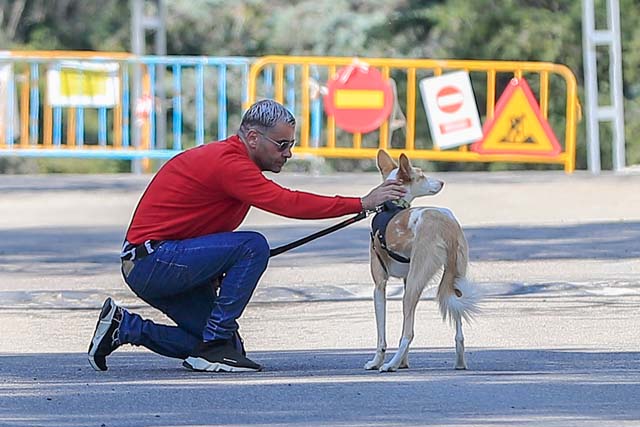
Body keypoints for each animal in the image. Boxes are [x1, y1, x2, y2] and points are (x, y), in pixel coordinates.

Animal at [364, 150, 480, 374]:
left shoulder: (379, 286)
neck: (393, 207)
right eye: (422, 175)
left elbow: (382, 335)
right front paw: (404, 363)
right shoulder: (405, 280)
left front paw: (377, 362)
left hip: (414, 285)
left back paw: (390, 365)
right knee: (459, 329)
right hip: (451, 279)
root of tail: (446, 226)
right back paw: (460, 363)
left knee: (408, 333)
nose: (442, 182)